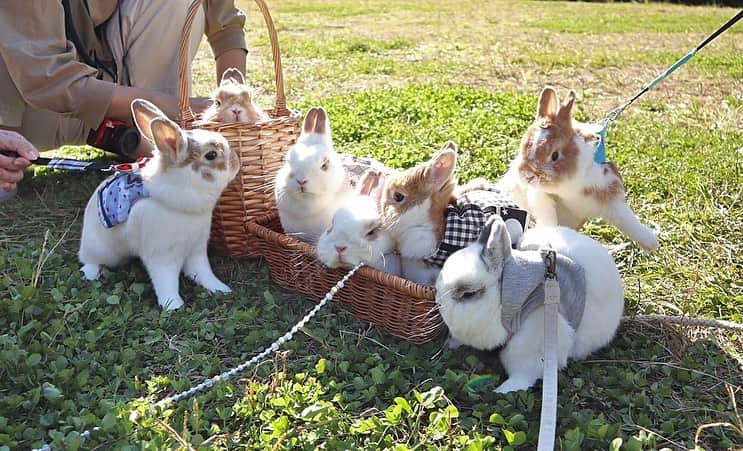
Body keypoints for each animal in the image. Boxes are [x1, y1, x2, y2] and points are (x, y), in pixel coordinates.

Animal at [78, 99, 239, 311]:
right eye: (211, 155)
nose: (237, 161)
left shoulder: (196, 249)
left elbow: (203, 272)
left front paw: (220, 288)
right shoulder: (162, 256)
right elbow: (166, 280)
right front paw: (173, 305)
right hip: (100, 250)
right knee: (88, 261)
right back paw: (92, 274)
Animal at [435, 216, 624, 393]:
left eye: (468, 294)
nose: (438, 301)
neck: (504, 304)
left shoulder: (530, 348)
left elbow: (523, 374)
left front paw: (502, 391)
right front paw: (449, 345)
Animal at [497, 86, 659, 251]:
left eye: (555, 155)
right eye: (524, 146)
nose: (527, 176)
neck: (570, 184)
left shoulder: (611, 191)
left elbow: (628, 220)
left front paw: (651, 243)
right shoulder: (541, 196)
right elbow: (548, 217)